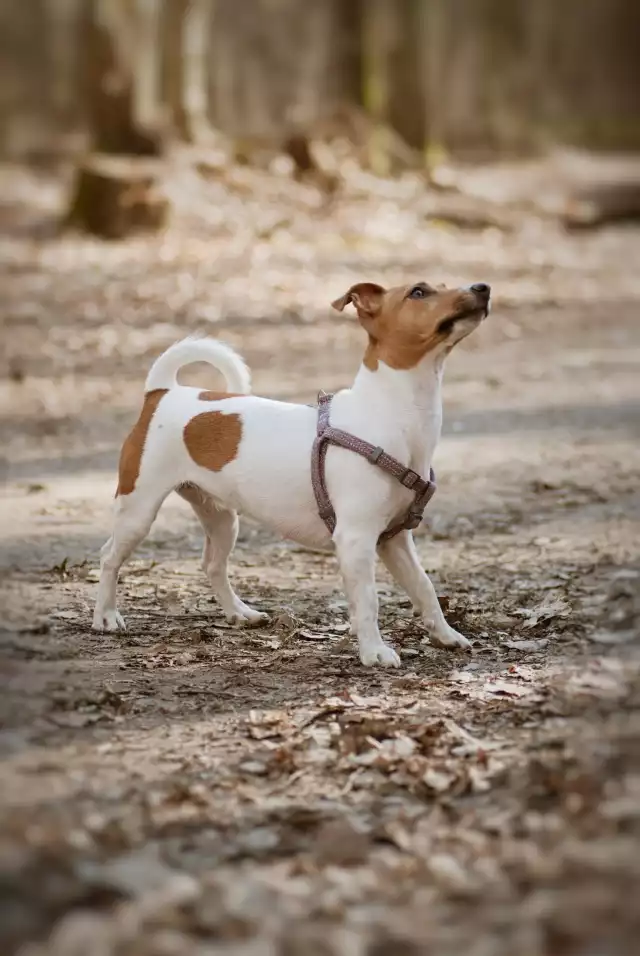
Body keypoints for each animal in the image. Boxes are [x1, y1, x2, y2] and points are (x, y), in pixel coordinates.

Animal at [92, 276, 490, 664]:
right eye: (418, 292)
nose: (482, 288)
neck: (393, 412)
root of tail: (162, 392)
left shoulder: (394, 540)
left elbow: (424, 587)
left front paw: (446, 635)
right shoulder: (356, 539)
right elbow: (368, 600)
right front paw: (373, 652)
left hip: (221, 518)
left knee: (212, 564)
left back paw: (239, 613)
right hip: (139, 509)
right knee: (109, 557)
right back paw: (106, 616)